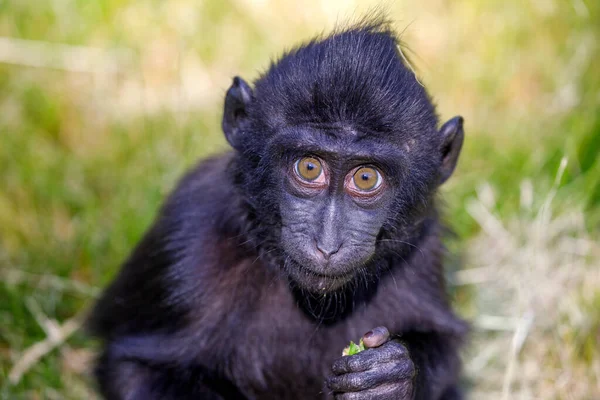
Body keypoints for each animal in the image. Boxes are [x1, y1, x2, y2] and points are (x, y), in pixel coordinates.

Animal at [90, 18, 468, 400]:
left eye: (365, 178)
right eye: (309, 168)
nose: (327, 246)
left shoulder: (424, 248)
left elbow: (444, 352)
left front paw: (389, 378)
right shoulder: (187, 237)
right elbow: (137, 368)